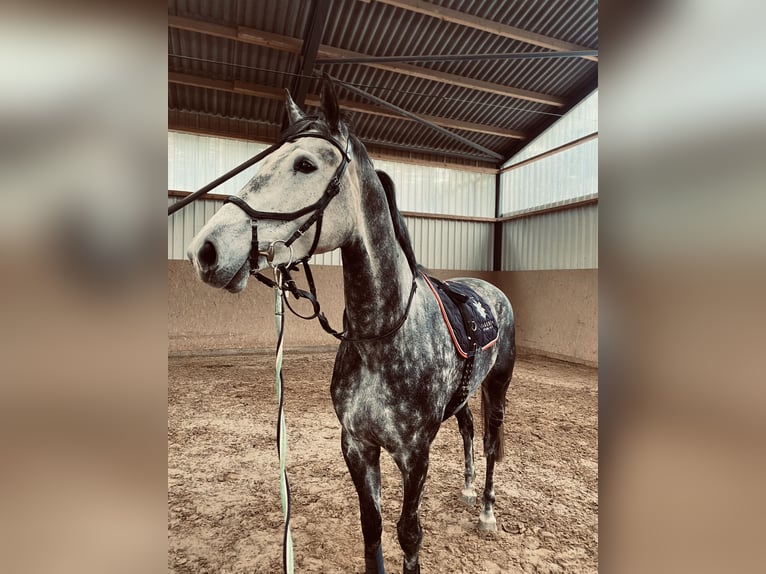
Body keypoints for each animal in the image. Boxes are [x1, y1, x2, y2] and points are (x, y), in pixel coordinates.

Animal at [188, 77, 516, 574]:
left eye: (305, 164)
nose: (205, 251)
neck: (383, 338)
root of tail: (491, 291)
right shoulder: (358, 446)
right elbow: (372, 529)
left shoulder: (414, 455)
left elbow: (409, 534)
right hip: (463, 397)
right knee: (468, 429)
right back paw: (465, 490)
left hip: (497, 387)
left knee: (494, 443)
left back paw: (487, 513)